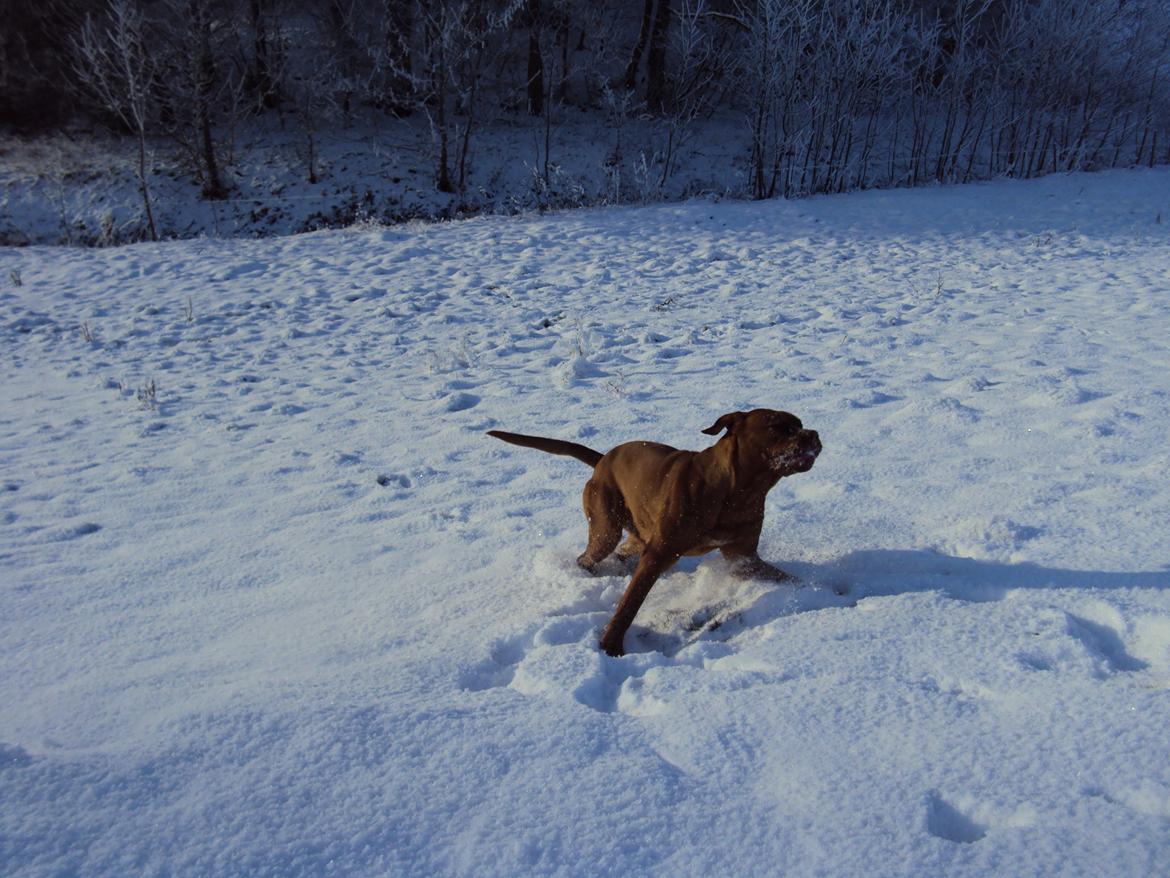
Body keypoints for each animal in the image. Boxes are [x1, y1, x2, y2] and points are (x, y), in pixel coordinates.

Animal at [484, 409, 823, 655]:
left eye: (800, 424)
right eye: (779, 427)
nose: (815, 434)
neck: (738, 491)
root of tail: (602, 460)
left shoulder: (744, 557)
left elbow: (786, 578)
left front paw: (817, 591)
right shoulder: (659, 554)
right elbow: (629, 605)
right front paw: (610, 647)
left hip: (637, 535)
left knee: (622, 552)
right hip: (606, 529)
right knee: (588, 556)